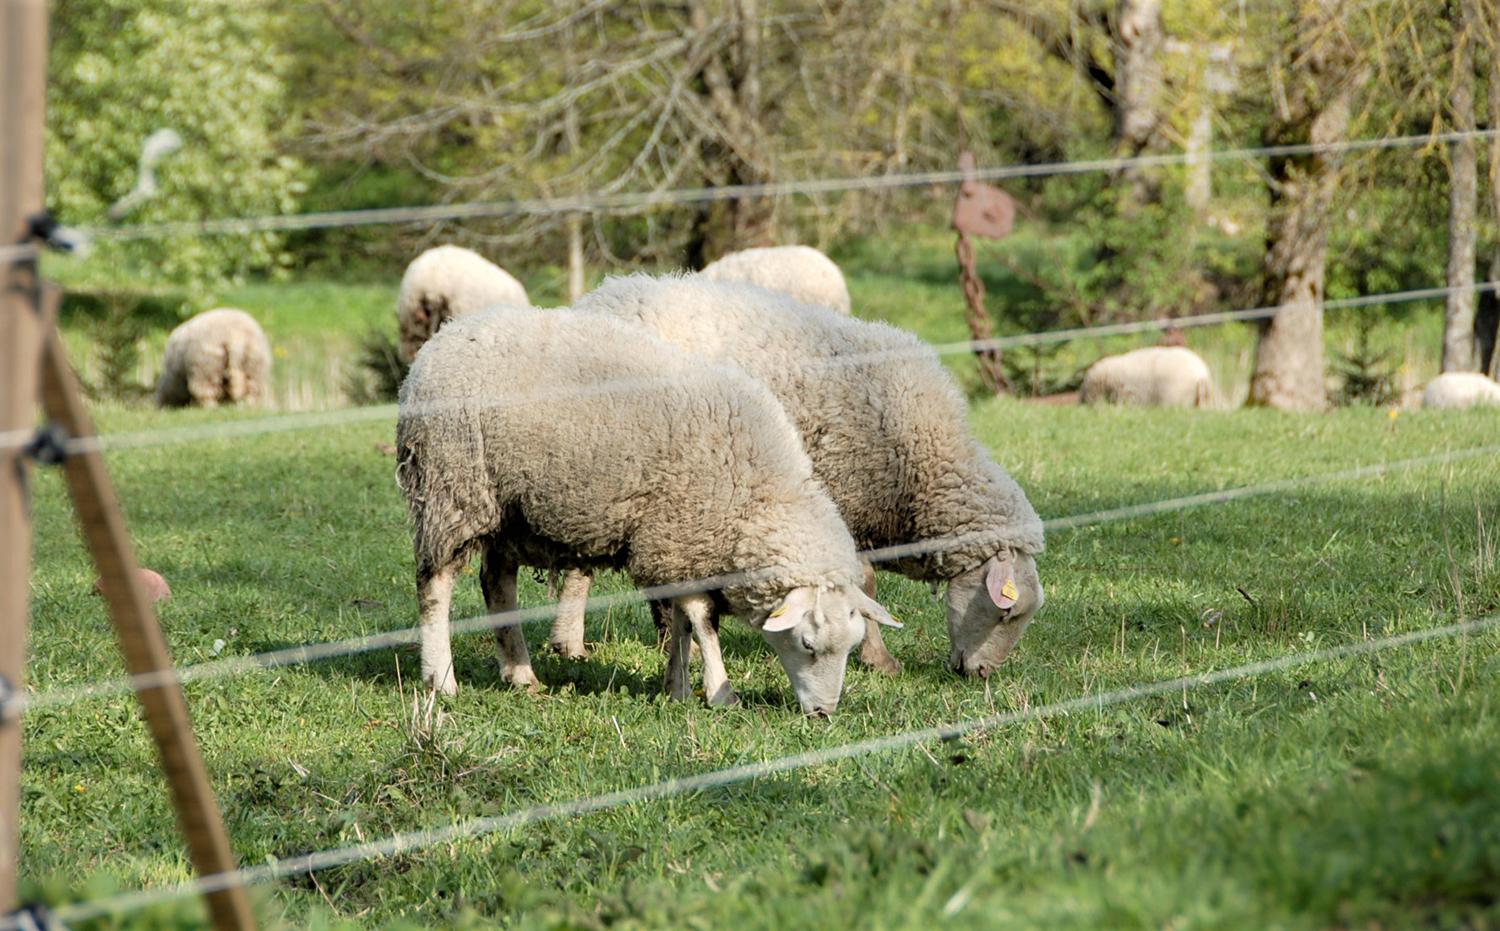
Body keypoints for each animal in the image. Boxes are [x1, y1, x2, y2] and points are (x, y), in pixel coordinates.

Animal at [393, 304, 894, 710]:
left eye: (850, 647)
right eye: (807, 644)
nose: (824, 713)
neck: (758, 497)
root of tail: (443, 339)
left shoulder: (679, 547)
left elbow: (682, 621)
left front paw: (677, 687)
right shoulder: (680, 536)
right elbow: (702, 620)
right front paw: (720, 693)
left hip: (509, 511)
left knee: (497, 583)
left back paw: (521, 674)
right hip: (453, 488)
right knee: (435, 586)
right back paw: (441, 680)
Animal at [573, 272, 1044, 677]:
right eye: (1008, 612)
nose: (980, 674)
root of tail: (603, 294)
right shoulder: (844, 500)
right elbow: (865, 586)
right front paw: (879, 660)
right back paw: (581, 646)